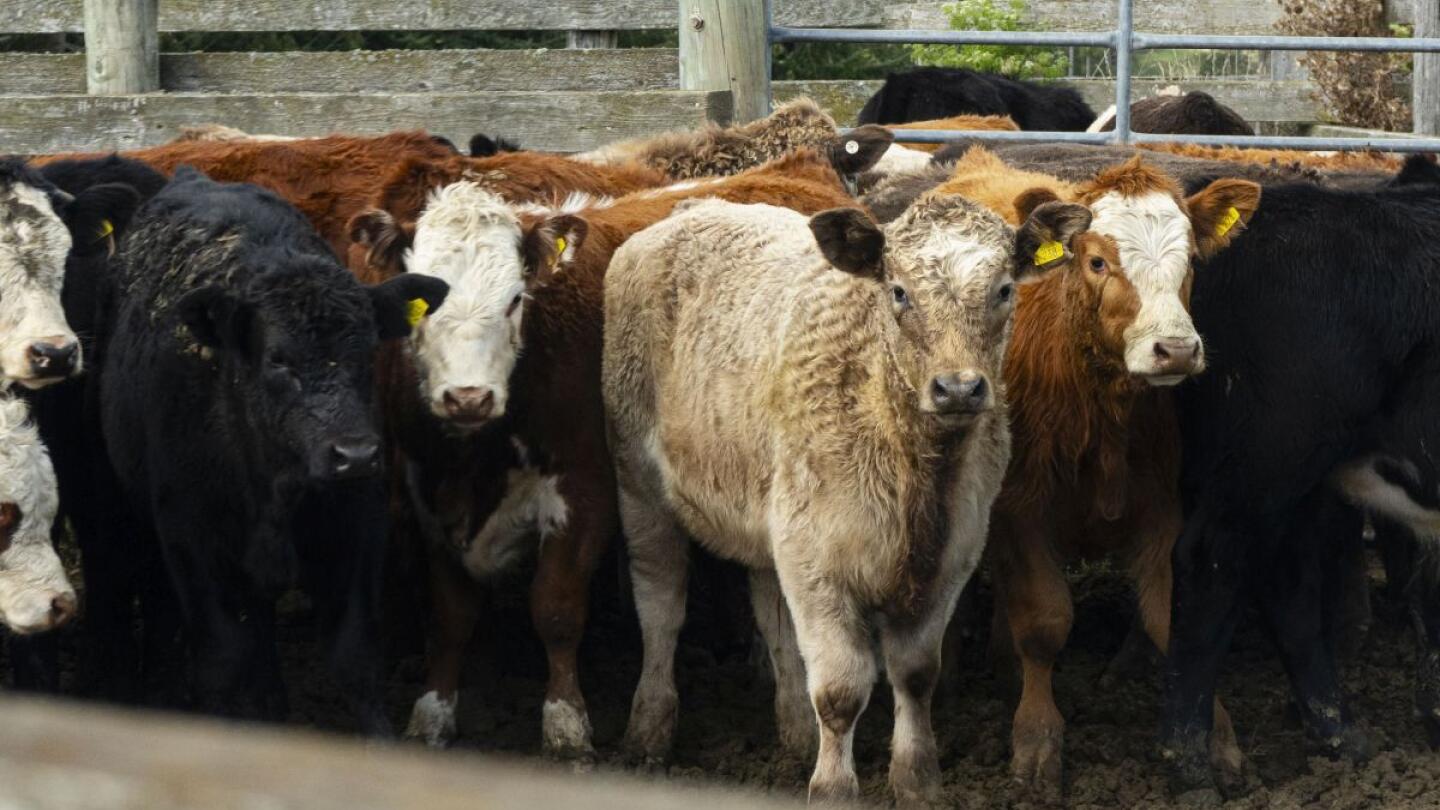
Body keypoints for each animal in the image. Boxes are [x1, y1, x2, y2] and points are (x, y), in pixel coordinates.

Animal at [91, 167, 448, 731]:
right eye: (278, 359)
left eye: (368, 347)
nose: (355, 454)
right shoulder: (192, 544)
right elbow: (220, 660)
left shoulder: (357, 531)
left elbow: (355, 660)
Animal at [345, 139, 891, 756]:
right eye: (425, 303)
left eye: (514, 300)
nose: (468, 397)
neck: (478, 457)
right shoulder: (430, 499)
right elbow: (451, 616)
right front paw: (433, 712)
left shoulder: (586, 492)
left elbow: (556, 608)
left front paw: (565, 723)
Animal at [602, 194, 1087, 805]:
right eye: (899, 291)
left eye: (1003, 289)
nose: (958, 388)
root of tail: (690, 208)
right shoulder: (820, 567)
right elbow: (839, 690)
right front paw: (833, 787)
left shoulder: (951, 560)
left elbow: (915, 674)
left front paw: (917, 781)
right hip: (639, 486)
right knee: (661, 607)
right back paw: (648, 730)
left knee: (774, 619)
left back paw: (793, 734)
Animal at [923, 152, 1261, 799]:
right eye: (1098, 260)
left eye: (1190, 261)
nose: (1176, 350)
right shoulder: (1022, 510)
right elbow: (1044, 620)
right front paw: (1036, 740)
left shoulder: (1159, 509)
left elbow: (1170, 619)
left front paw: (1213, 738)